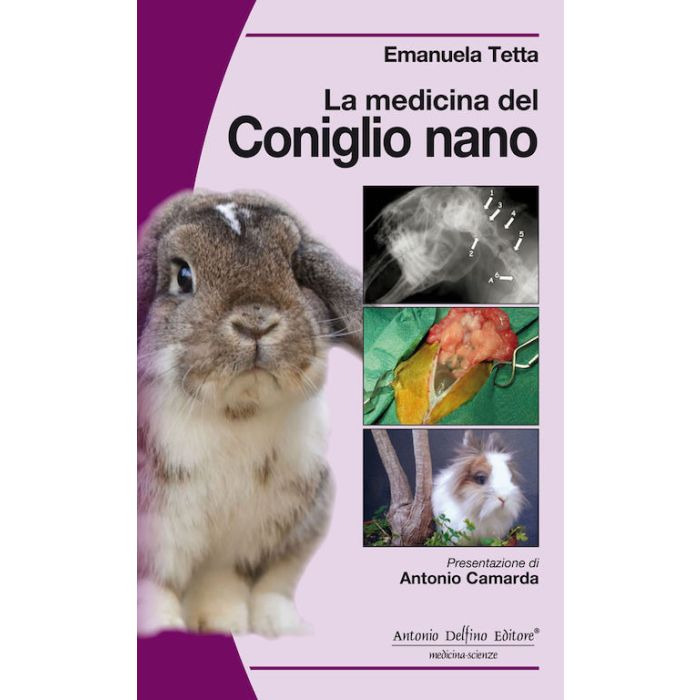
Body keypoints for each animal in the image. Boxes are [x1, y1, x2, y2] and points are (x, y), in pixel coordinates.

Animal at [137, 190, 362, 637]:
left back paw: (284, 627)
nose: (256, 322)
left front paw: (224, 624)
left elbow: (225, 580)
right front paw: (162, 627)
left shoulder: (247, 538)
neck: (238, 413)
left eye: (296, 269)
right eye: (182, 276)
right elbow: (153, 582)